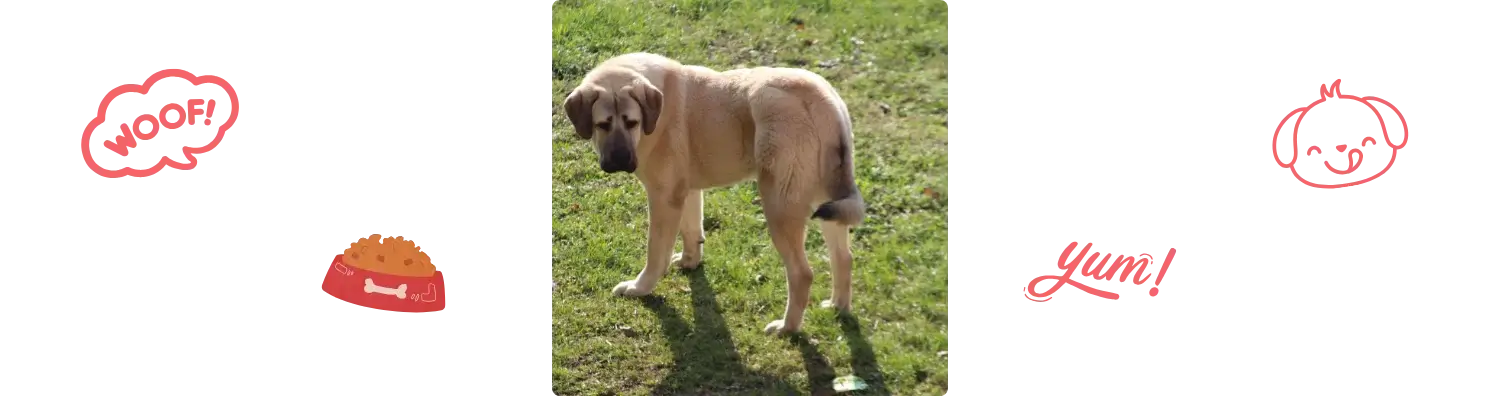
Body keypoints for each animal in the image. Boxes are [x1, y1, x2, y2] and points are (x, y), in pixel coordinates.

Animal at [564, 52, 870, 336]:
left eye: (632, 122)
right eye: (602, 124)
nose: (619, 160)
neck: (656, 115)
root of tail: (824, 100)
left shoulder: (663, 197)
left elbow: (655, 252)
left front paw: (640, 287)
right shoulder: (686, 191)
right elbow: (692, 230)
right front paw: (689, 262)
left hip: (779, 206)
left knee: (802, 274)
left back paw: (787, 328)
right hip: (826, 198)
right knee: (844, 257)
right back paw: (838, 306)